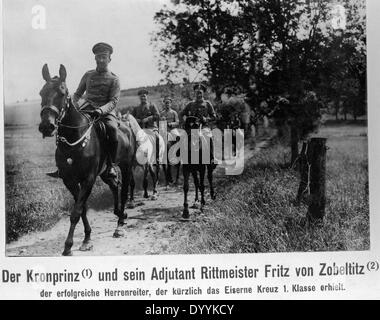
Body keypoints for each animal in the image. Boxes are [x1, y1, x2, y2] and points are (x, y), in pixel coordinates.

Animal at [38, 63, 136, 256]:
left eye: (62, 93)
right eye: (41, 93)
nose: (47, 126)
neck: (74, 140)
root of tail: (127, 127)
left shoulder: (88, 179)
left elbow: (76, 211)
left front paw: (68, 246)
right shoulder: (69, 180)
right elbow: (81, 208)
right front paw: (87, 238)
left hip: (126, 165)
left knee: (124, 189)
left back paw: (120, 225)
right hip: (105, 172)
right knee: (115, 185)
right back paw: (119, 214)